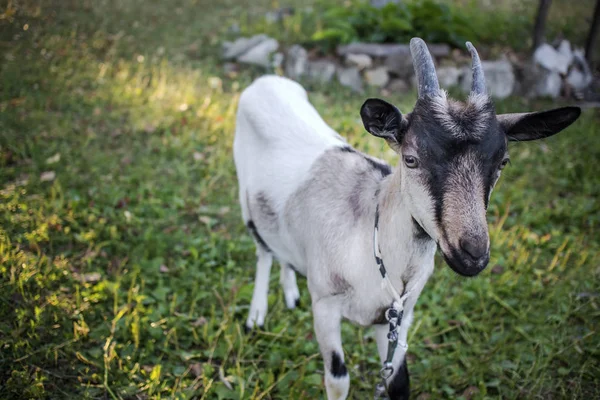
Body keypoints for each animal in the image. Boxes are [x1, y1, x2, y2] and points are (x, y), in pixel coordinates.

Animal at [233, 38, 580, 400]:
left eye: (503, 162)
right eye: (411, 159)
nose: (472, 253)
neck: (370, 233)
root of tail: (268, 80)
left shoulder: (399, 319)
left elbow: (398, 380)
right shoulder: (325, 307)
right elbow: (338, 379)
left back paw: (289, 292)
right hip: (244, 197)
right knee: (262, 250)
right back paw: (256, 314)